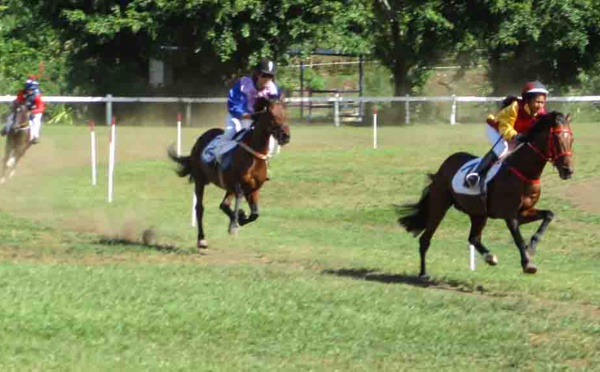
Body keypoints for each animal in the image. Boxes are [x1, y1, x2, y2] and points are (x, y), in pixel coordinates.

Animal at [169, 97, 290, 250]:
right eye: (272, 116)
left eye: (285, 114)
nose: (286, 136)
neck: (254, 155)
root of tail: (200, 139)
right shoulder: (238, 184)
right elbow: (238, 202)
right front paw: (234, 224)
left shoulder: (254, 188)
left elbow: (255, 214)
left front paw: (241, 217)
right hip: (200, 180)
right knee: (200, 208)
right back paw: (201, 239)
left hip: (227, 187)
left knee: (224, 205)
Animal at [396, 112, 576, 278]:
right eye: (557, 139)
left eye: (572, 140)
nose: (568, 171)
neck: (524, 171)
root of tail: (443, 167)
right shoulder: (510, 215)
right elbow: (518, 238)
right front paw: (527, 263)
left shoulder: (523, 212)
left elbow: (548, 215)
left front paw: (531, 246)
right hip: (439, 204)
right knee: (425, 239)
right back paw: (423, 274)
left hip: (478, 213)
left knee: (473, 238)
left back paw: (490, 257)